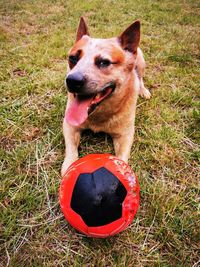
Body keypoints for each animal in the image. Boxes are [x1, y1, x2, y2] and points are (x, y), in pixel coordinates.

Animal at [61, 17, 150, 178]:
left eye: (104, 62)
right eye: (73, 58)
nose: (72, 81)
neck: (99, 116)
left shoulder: (125, 135)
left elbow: (122, 158)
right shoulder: (69, 125)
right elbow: (71, 149)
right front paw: (69, 166)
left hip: (140, 62)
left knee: (140, 77)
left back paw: (143, 90)